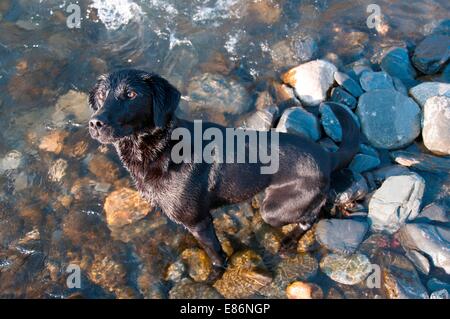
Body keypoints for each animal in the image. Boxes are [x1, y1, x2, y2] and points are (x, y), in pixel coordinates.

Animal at [89, 69, 360, 268]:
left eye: (131, 94)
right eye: (101, 96)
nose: (95, 123)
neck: (162, 148)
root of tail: (325, 156)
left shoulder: (200, 222)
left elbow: (216, 255)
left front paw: (217, 273)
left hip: (274, 210)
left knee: (312, 215)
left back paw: (289, 240)